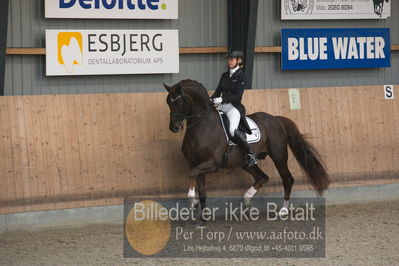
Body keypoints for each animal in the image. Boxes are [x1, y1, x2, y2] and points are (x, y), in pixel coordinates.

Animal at [164, 80, 330, 217]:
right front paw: (202, 216)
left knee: (287, 179)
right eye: (168, 103)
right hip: (245, 163)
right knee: (263, 177)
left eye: (177, 102)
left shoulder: (212, 163)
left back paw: (283, 210)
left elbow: (191, 174)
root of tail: (276, 119)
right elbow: (200, 187)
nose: (174, 128)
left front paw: (193, 202)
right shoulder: (197, 163)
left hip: (279, 156)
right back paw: (248, 201)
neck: (203, 124)